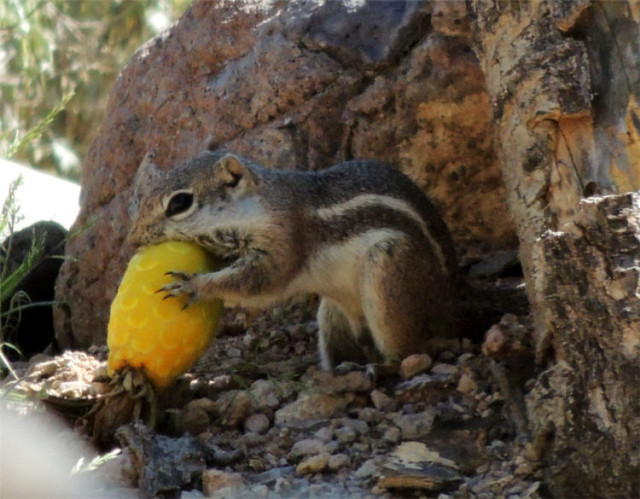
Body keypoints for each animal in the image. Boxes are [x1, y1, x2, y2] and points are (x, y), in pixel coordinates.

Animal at [127, 150, 464, 374]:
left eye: (180, 203)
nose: (133, 239)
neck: (261, 204)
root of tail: (451, 306)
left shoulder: (285, 238)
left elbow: (261, 281)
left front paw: (193, 285)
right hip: (333, 315)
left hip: (390, 278)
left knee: (411, 350)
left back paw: (386, 367)